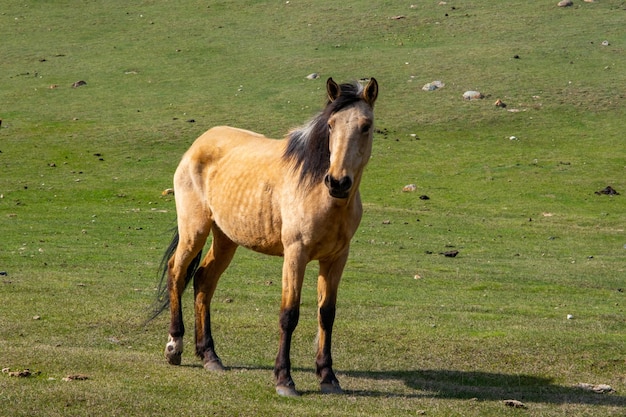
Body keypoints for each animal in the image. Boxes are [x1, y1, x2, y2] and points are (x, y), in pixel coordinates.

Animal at [152, 76, 376, 394]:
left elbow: (326, 314)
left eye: (366, 126)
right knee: (177, 271)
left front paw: (328, 377)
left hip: (225, 238)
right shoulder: (295, 253)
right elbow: (289, 314)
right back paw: (174, 346)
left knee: (204, 280)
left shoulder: (336, 258)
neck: (320, 193)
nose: (337, 182)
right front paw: (284, 379)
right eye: (331, 125)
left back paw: (210, 356)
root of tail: (198, 144)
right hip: (194, 230)